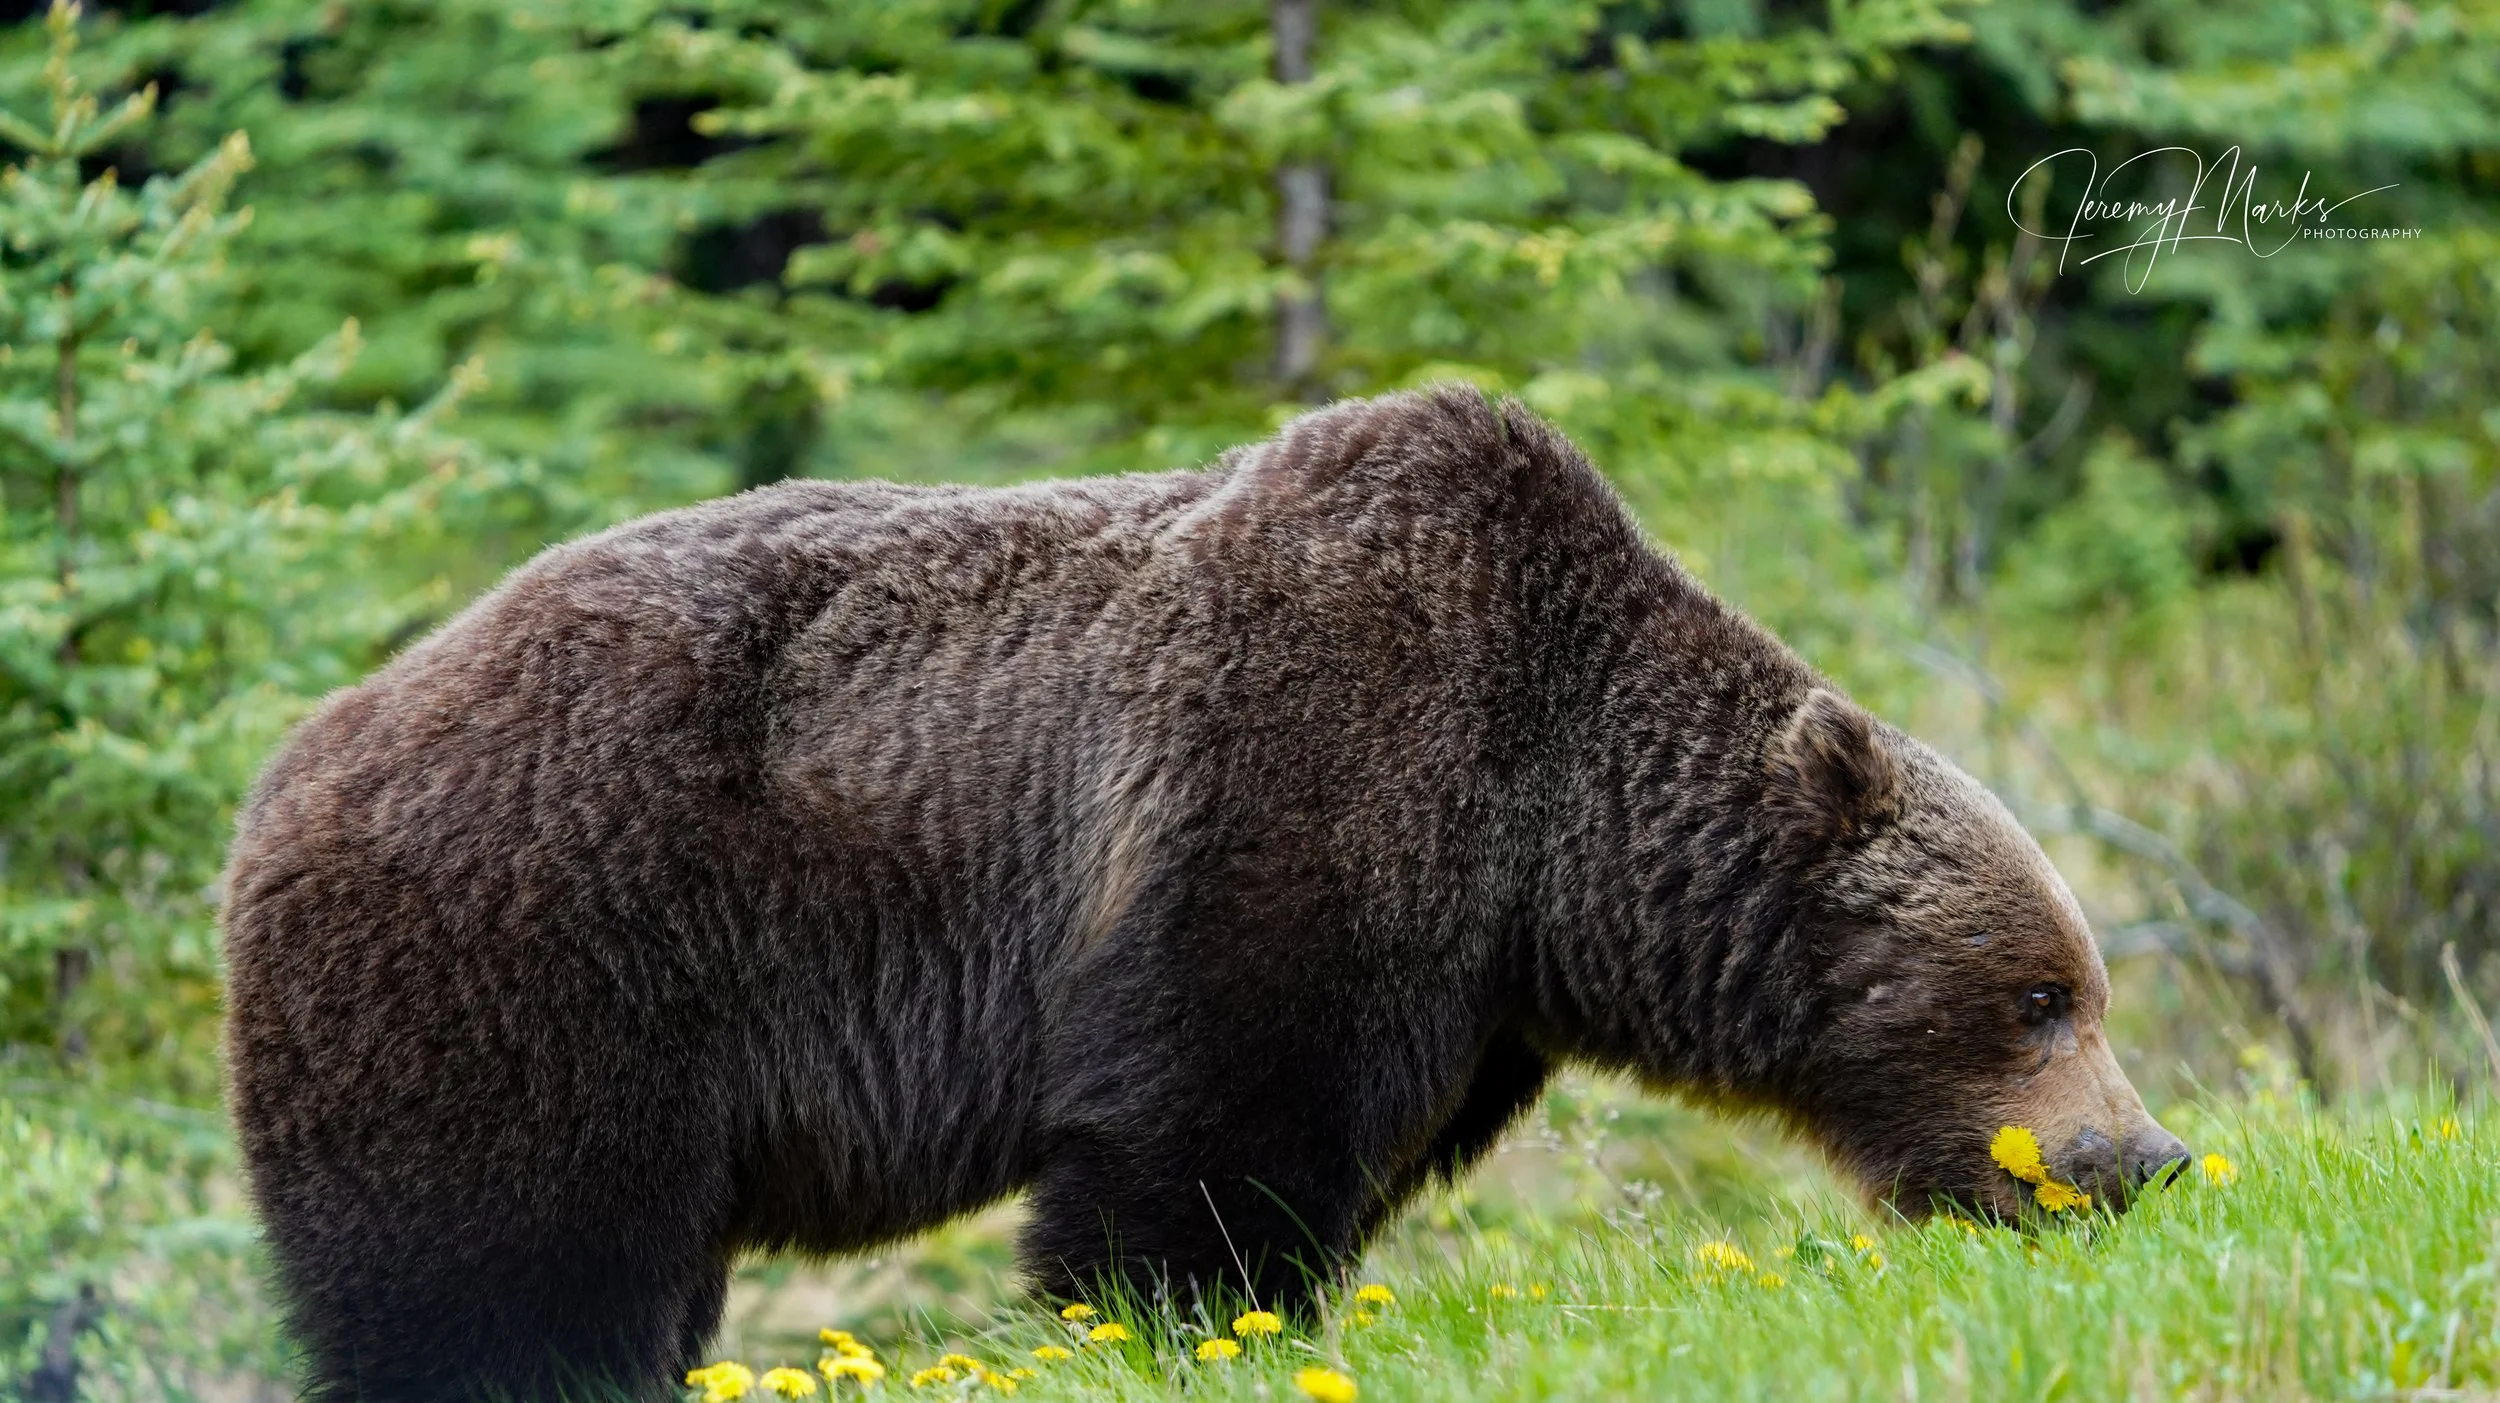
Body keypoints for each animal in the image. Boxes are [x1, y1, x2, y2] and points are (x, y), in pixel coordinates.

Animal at [222, 387, 2189, 1402]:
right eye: (2040, 994)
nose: (2138, 1159)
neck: (1554, 833)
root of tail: (295, 757)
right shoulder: (1301, 779)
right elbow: (1207, 1118)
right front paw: (1171, 1316)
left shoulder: (1477, 977)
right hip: (533, 963)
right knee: (502, 1275)